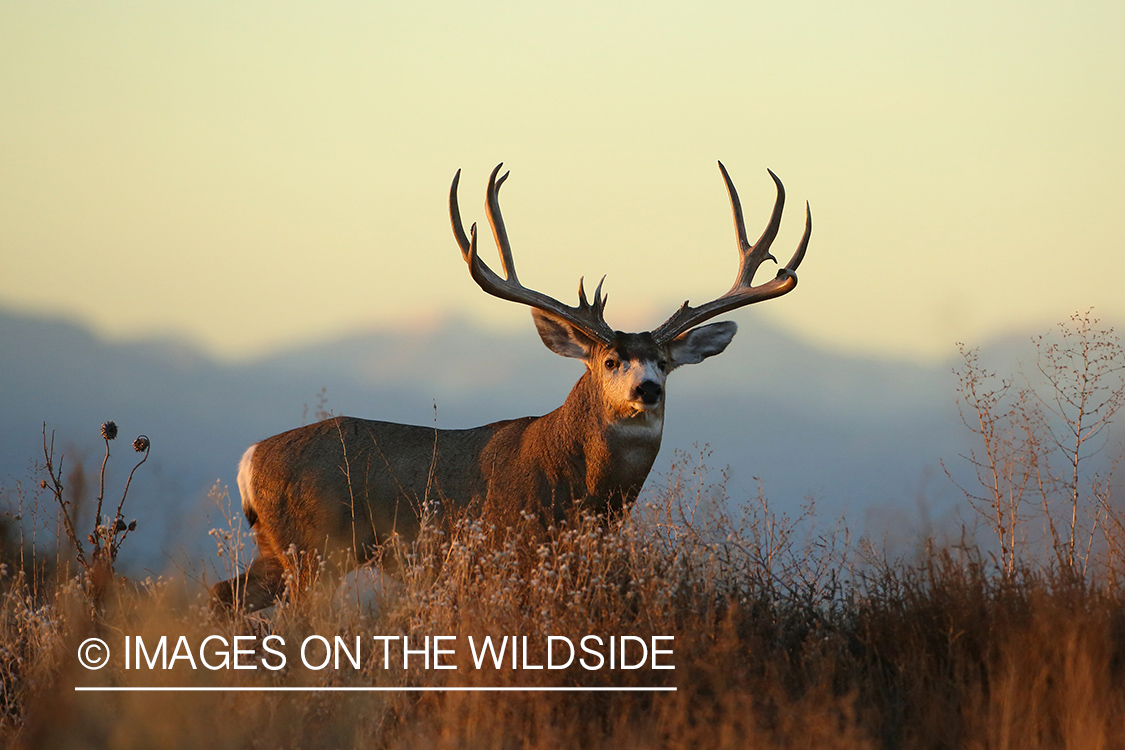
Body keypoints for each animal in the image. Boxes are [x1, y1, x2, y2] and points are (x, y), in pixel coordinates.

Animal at [211, 163, 810, 611]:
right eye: (611, 359)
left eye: (664, 362)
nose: (647, 391)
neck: (579, 487)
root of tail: (247, 459)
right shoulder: (507, 549)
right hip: (314, 549)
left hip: (277, 552)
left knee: (222, 595)